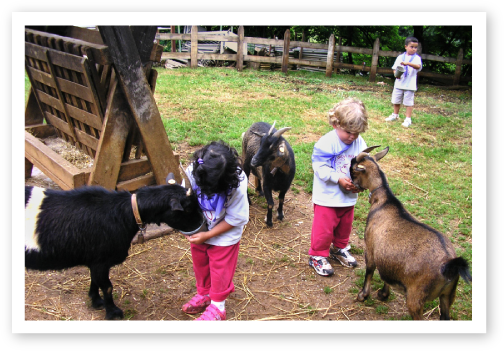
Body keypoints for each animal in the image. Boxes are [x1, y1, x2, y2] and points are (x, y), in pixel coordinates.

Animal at [23, 175, 201, 320]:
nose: (201, 226)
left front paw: (96, 301)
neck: (125, 213)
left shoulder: (95, 260)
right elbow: (107, 287)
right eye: (188, 209)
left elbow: (95, 281)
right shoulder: (100, 260)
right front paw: (113, 312)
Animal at [350, 146, 472, 322]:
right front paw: (383, 294)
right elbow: (386, 275)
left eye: (353, 168)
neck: (385, 202)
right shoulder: (387, 258)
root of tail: (449, 264)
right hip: (448, 295)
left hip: (416, 297)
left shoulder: (371, 248)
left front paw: (363, 295)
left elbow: (370, 270)